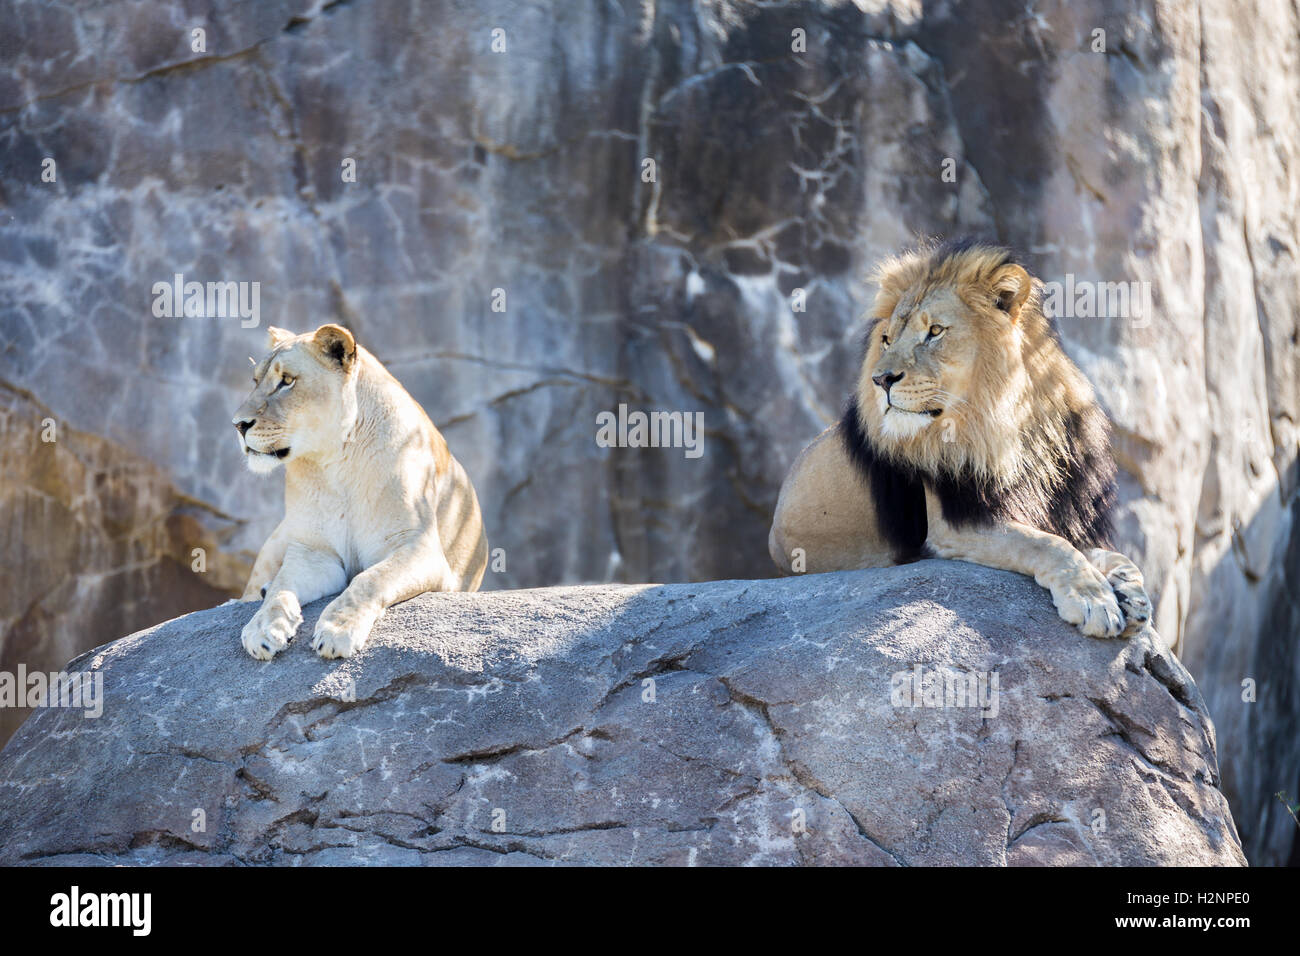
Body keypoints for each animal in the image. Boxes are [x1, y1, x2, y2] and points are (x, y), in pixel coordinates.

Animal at [232, 325, 488, 660]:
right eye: (255, 381)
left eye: (287, 380)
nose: (238, 424)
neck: (337, 464)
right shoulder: (313, 551)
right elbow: (280, 588)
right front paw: (263, 627)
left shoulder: (420, 548)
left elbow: (370, 579)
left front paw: (337, 630)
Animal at [764, 239, 1154, 639]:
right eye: (887, 339)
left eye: (935, 331)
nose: (880, 379)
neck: (1011, 426)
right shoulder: (955, 524)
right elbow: (1047, 544)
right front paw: (1094, 599)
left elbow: (1105, 552)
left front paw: (1130, 591)